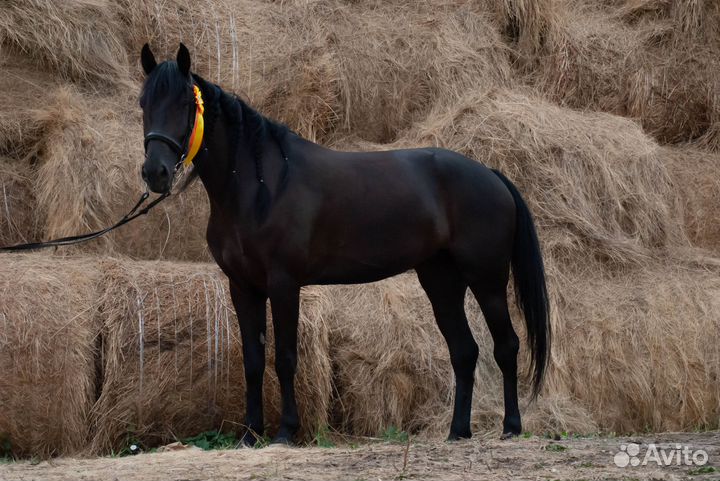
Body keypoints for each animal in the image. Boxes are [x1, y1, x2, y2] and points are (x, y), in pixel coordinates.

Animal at [139, 43, 550, 445]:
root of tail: (491, 175)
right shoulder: (242, 287)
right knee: (464, 351)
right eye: (144, 103)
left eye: (185, 104)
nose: (155, 172)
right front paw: (250, 434)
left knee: (507, 345)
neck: (261, 185)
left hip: (487, 280)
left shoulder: (284, 284)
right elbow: (253, 361)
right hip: (441, 281)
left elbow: (284, 357)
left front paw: (286, 431)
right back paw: (457, 432)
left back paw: (511, 426)